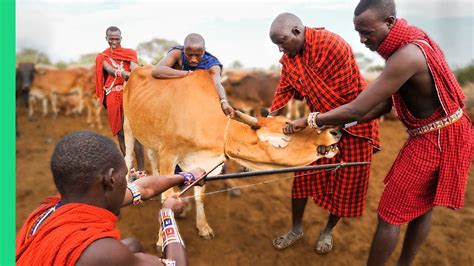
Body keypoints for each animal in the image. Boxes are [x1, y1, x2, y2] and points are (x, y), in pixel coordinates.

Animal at [124, 67, 342, 249]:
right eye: (288, 131)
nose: (335, 131)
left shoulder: (202, 163)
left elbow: (200, 196)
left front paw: (203, 227)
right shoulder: (169, 155)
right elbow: (168, 198)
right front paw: (162, 240)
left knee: (151, 157)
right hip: (128, 126)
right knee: (127, 157)